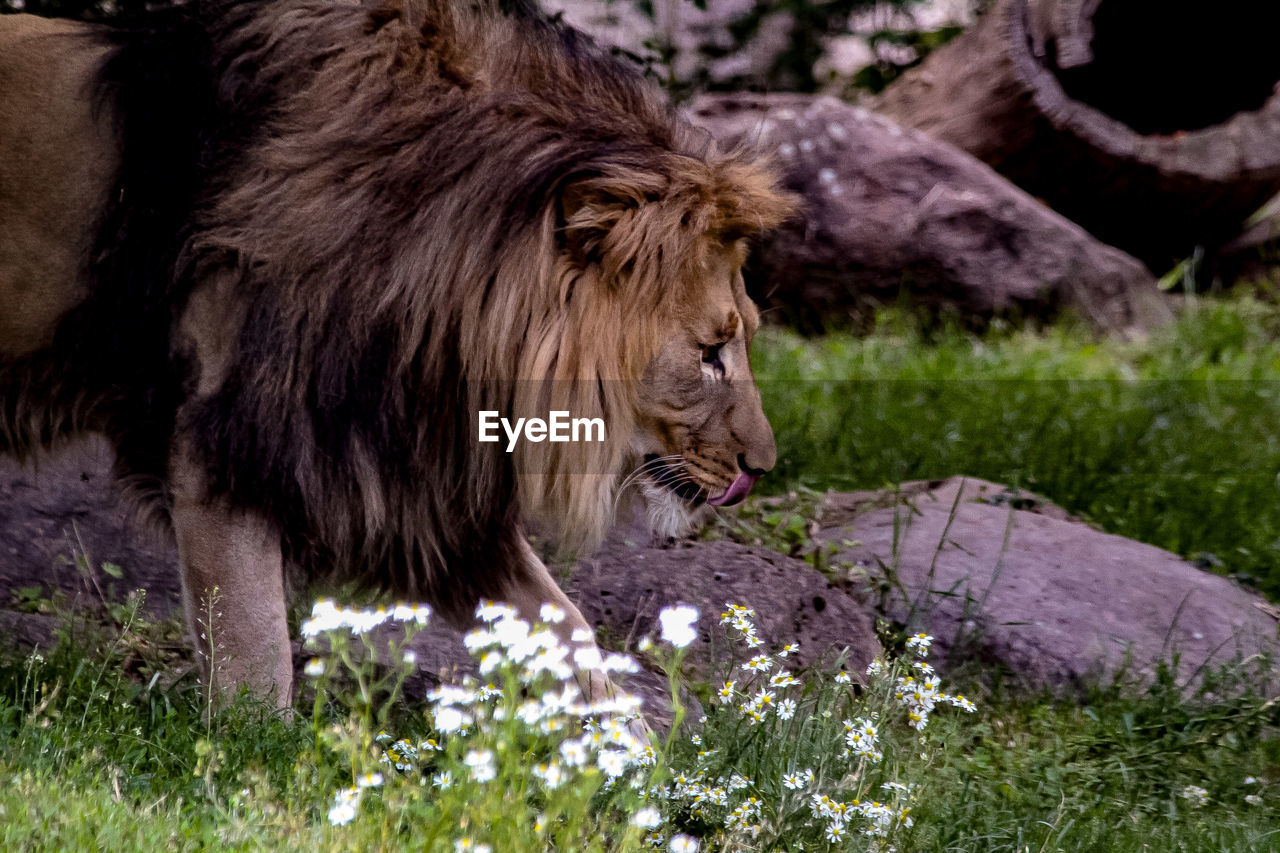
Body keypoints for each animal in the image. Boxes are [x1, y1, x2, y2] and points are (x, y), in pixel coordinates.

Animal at [0, 0, 793, 706]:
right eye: (710, 352)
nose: (761, 468)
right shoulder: (225, 439)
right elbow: (255, 648)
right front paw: (248, 759)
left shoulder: (418, 486)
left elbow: (563, 628)